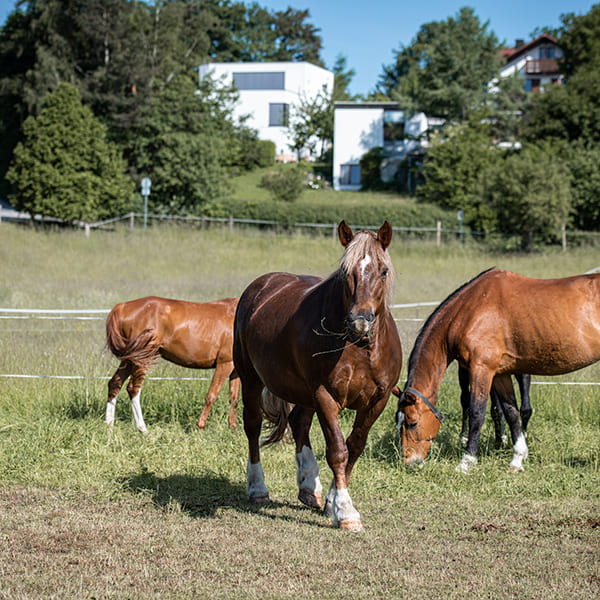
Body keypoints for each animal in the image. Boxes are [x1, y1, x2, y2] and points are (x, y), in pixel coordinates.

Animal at [105, 296, 239, 434]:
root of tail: (122, 306)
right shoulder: (225, 364)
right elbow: (211, 396)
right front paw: (200, 427)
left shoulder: (235, 371)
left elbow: (234, 399)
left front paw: (233, 428)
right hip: (141, 359)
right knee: (133, 388)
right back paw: (143, 429)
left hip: (129, 359)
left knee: (115, 383)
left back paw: (109, 426)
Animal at [232, 220, 400, 528]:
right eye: (346, 272)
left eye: (383, 270)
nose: (359, 321)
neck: (360, 348)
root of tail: (262, 285)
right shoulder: (325, 395)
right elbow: (337, 450)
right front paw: (345, 511)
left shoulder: (378, 400)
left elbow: (354, 447)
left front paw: (333, 500)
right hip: (251, 378)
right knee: (252, 427)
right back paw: (258, 488)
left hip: (303, 393)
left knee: (298, 422)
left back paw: (310, 486)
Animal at [396, 268, 600, 474]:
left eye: (412, 422)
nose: (409, 462)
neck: (470, 310)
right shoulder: (501, 374)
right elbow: (511, 412)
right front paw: (517, 459)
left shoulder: (481, 369)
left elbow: (477, 413)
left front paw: (466, 462)